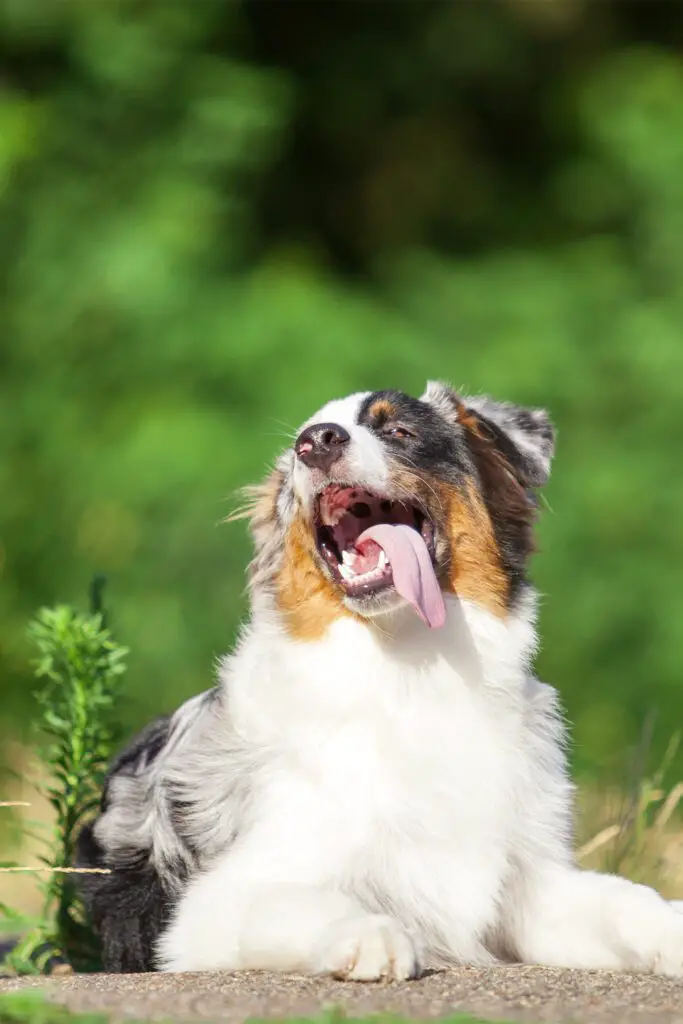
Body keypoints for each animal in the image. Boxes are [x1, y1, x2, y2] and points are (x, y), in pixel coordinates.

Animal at [77, 382, 683, 974]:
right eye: (299, 442)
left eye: (400, 431)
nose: (316, 441)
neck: (411, 670)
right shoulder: (211, 907)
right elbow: (307, 901)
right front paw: (369, 935)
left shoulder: (531, 886)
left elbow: (628, 900)